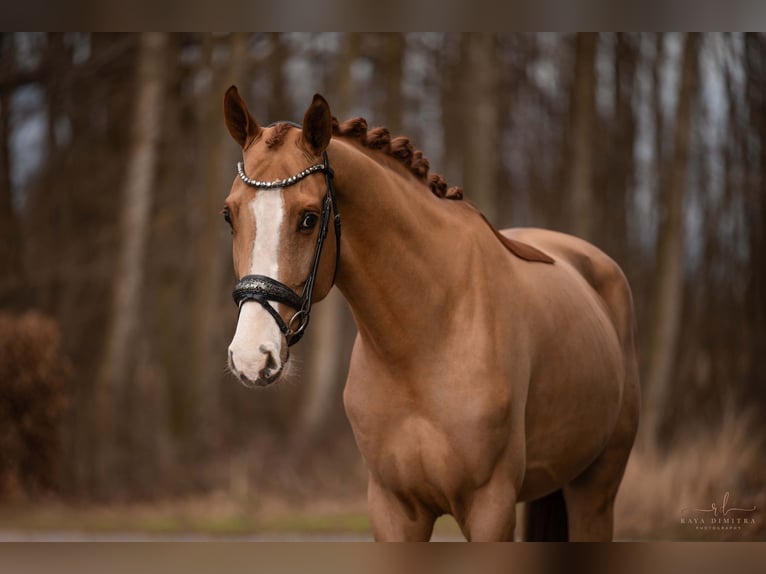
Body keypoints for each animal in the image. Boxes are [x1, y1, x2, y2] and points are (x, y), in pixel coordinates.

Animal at [222, 86, 640, 544]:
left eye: (309, 218)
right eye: (229, 214)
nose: (252, 356)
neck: (425, 338)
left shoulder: (490, 508)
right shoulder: (393, 510)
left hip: (595, 488)